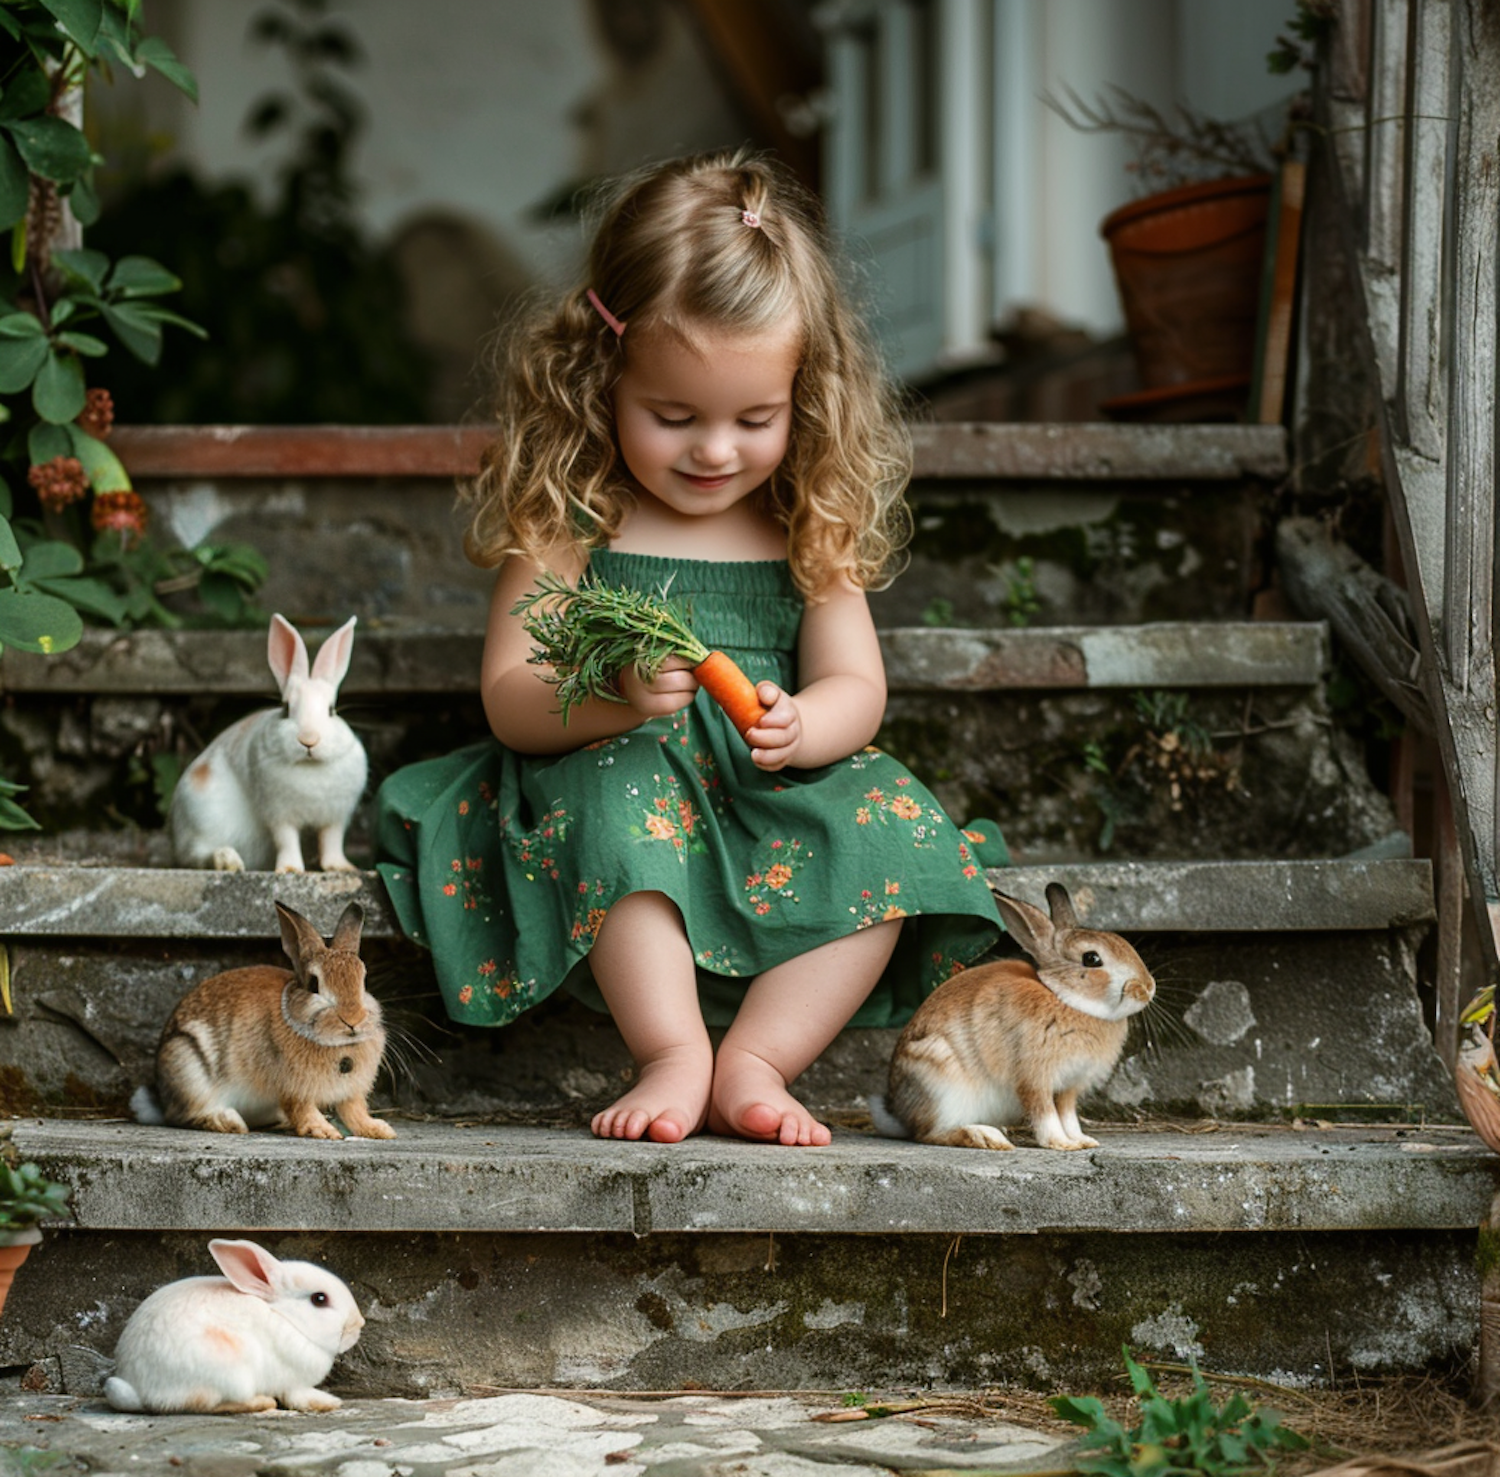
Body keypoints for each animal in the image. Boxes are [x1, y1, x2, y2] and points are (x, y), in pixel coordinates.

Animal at [103, 1241, 366, 1409]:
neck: (285, 1318)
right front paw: (328, 1403)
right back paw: (261, 1403)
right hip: (228, 1369)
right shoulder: (292, 1381)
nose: (359, 1324)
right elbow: (297, 1396)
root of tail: (139, 1389)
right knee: (204, 1403)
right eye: (319, 1299)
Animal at [132, 899, 396, 1139]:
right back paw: (228, 1122)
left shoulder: (351, 1091)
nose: (353, 1020)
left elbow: (354, 1111)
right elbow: (302, 1109)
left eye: (363, 982)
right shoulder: (292, 1087)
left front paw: (380, 1130)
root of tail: (161, 1099)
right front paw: (323, 1131)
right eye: (314, 985)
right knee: (184, 1115)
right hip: (187, 1066)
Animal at [168, 614, 367, 875]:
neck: (311, 767)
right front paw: (290, 869)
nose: (309, 740)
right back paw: (227, 861)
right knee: (196, 856)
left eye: (331, 710)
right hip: (204, 818)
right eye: (286, 708)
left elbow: (332, 842)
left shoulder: (335, 818)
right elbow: (287, 840)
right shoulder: (279, 815)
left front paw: (343, 867)